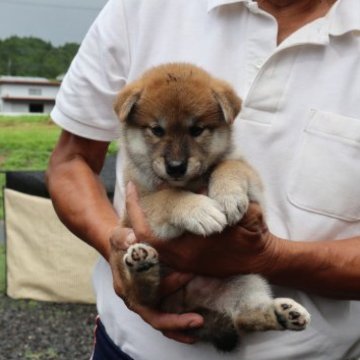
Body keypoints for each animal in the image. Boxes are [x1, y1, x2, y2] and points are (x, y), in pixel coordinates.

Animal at [112, 63, 310, 350]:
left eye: (197, 130)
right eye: (157, 130)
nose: (175, 167)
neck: (192, 181)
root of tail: (190, 305)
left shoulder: (250, 178)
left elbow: (229, 166)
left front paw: (228, 196)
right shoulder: (140, 203)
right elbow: (169, 196)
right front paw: (199, 210)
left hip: (245, 279)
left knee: (245, 318)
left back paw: (283, 314)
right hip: (124, 260)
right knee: (142, 297)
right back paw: (142, 264)